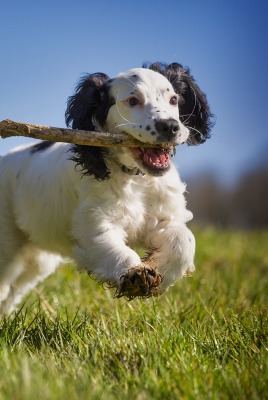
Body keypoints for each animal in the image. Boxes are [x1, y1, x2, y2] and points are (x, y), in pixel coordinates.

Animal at [0, 62, 214, 314]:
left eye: (173, 100)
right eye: (133, 101)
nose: (170, 127)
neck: (135, 179)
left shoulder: (163, 218)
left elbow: (184, 240)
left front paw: (161, 272)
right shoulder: (95, 222)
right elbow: (111, 246)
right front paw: (135, 274)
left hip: (38, 258)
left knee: (14, 289)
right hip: (7, 242)